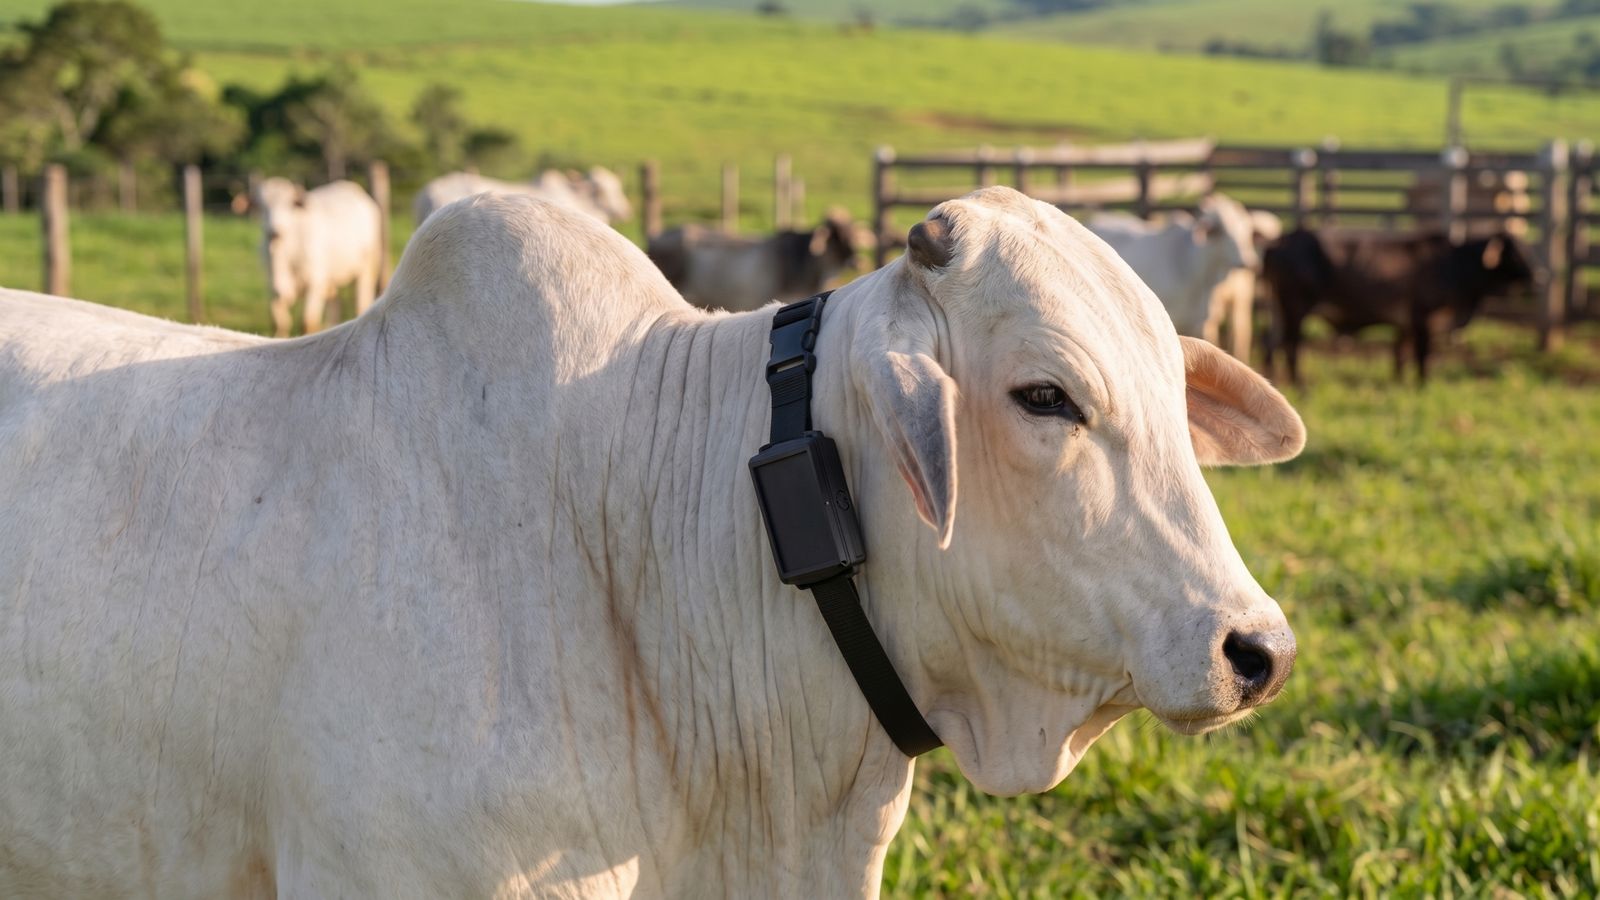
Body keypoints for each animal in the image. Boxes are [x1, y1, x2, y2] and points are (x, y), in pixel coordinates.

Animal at [254, 177, 385, 338]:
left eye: (289, 205)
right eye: (262, 207)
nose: (274, 232)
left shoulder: (314, 285)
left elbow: (307, 323)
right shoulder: (273, 289)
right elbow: (279, 324)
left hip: (366, 268)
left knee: (362, 302)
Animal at [1261, 227, 1535, 384]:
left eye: (1526, 248)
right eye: (1514, 253)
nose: (1537, 276)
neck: (1455, 265)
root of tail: (1281, 240)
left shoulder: (1405, 323)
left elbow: (1401, 353)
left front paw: (1400, 382)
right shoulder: (1424, 318)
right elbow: (1423, 356)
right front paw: (1423, 384)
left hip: (1279, 309)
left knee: (1271, 344)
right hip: (1296, 308)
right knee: (1291, 346)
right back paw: (1300, 384)